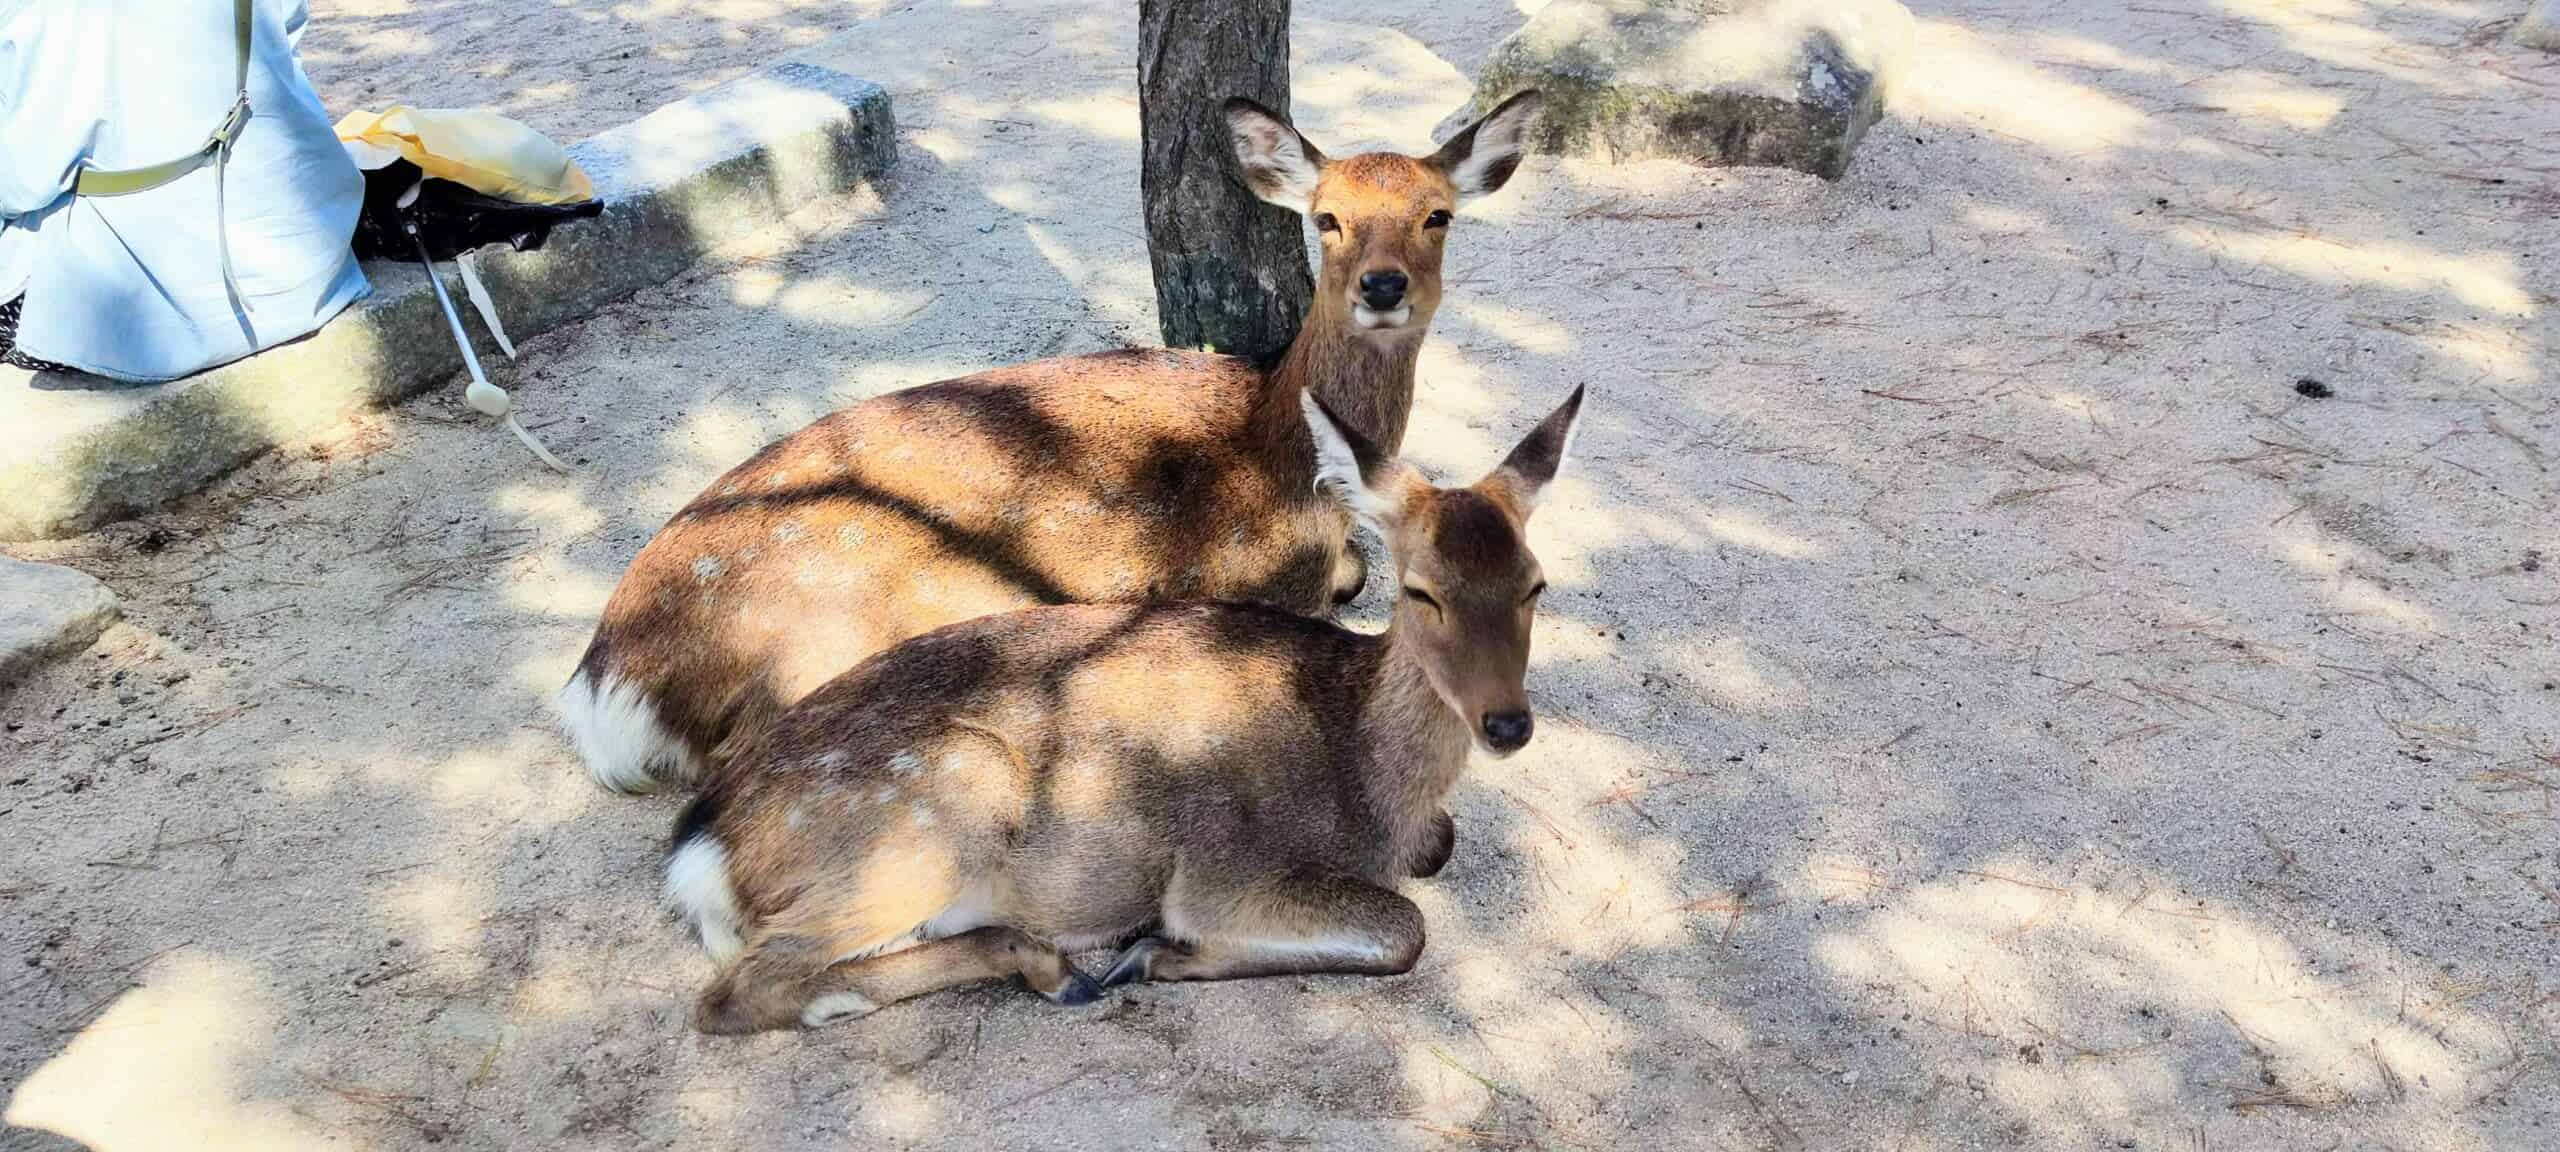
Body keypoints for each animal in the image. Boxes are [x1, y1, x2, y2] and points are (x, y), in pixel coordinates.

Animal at [559, 91, 1544, 802]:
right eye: (1327, 217)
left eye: (1439, 215)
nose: (1382, 286)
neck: (1287, 462)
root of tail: (605, 683)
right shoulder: (1264, 587)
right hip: (841, 637)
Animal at [662, 385, 1583, 1033]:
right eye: (1423, 591)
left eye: (1535, 584)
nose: (1507, 723)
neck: (1361, 764)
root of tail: (700, 846)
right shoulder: (1221, 866)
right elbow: (1403, 929)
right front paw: (1155, 953)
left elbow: (1438, 853)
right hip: (938, 800)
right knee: (736, 992)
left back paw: (1046, 965)